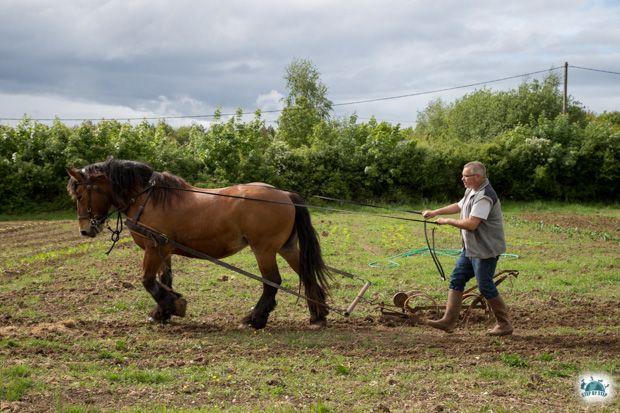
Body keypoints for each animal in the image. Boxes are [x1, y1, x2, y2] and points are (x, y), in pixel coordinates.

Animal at [65, 158, 332, 328]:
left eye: (79, 194)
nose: (85, 230)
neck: (147, 199)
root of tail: (284, 194)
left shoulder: (153, 249)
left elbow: (148, 281)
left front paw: (173, 305)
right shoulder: (164, 250)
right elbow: (165, 279)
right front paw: (162, 313)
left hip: (264, 250)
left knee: (272, 282)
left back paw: (254, 319)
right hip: (286, 247)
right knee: (306, 274)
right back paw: (317, 316)